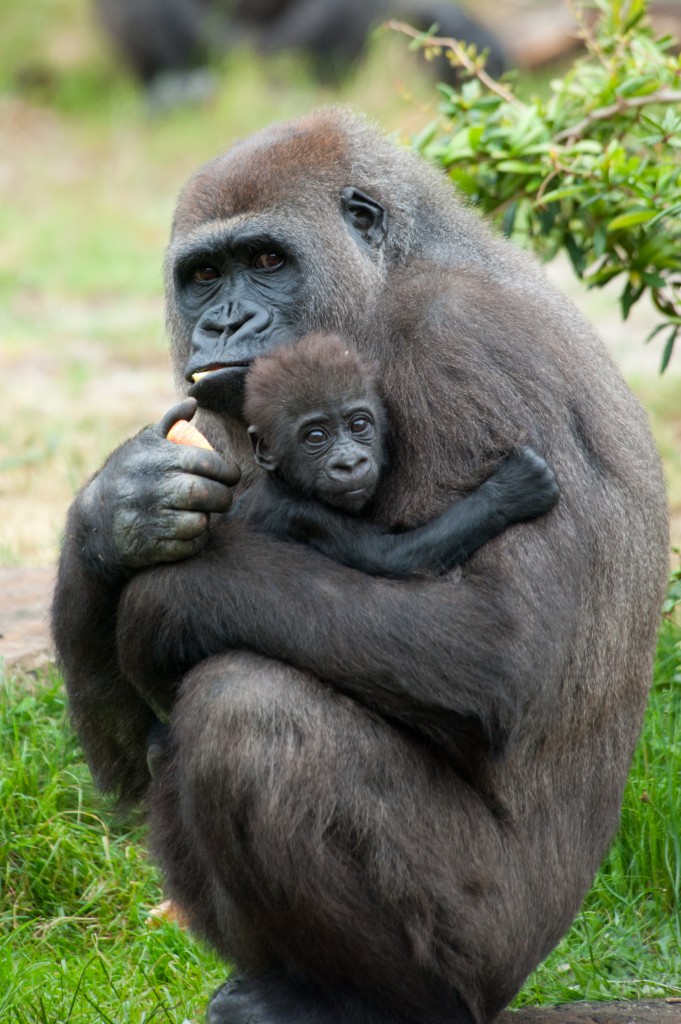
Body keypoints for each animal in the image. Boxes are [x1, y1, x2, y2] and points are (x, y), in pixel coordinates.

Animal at [240, 332, 559, 577]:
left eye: (359, 425)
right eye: (315, 437)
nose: (350, 463)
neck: (284, 480)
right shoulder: (299, 512)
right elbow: (389, 556)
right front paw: (511, 491)